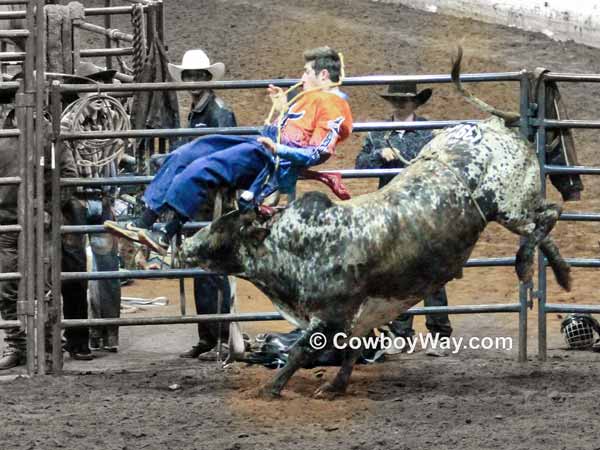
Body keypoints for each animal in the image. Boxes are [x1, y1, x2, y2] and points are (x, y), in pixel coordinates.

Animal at [179, 48, 572, 400]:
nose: (186, 245)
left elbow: (301, 351)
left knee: (548, 216)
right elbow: (351, 350)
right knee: (546, 222)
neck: (300, 243)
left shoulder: (330, 315)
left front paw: (272, 388)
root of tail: (495, 125)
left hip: (509, 206)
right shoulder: (359, 316)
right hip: (516, 207)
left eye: (225, 228)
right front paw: (334, 387)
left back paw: (526, 264)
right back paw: (562, 273)